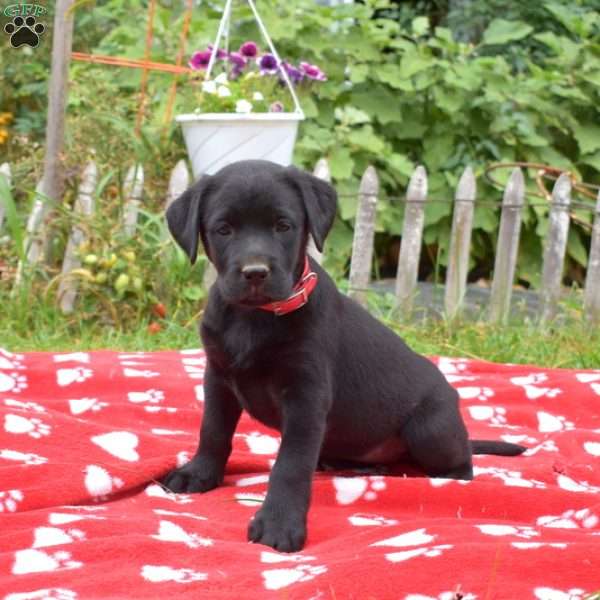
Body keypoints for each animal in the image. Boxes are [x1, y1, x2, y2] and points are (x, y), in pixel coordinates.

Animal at [164, 159, 524, 552]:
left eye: (283, 225)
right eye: (224, 229)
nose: (255, 272)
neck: (254, 318)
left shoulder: (306, 397)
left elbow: (290, 464)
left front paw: (279, 524)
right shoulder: (218, 378)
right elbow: (212, 431)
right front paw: (198, 474)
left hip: (430, 430)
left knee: (463, 462)